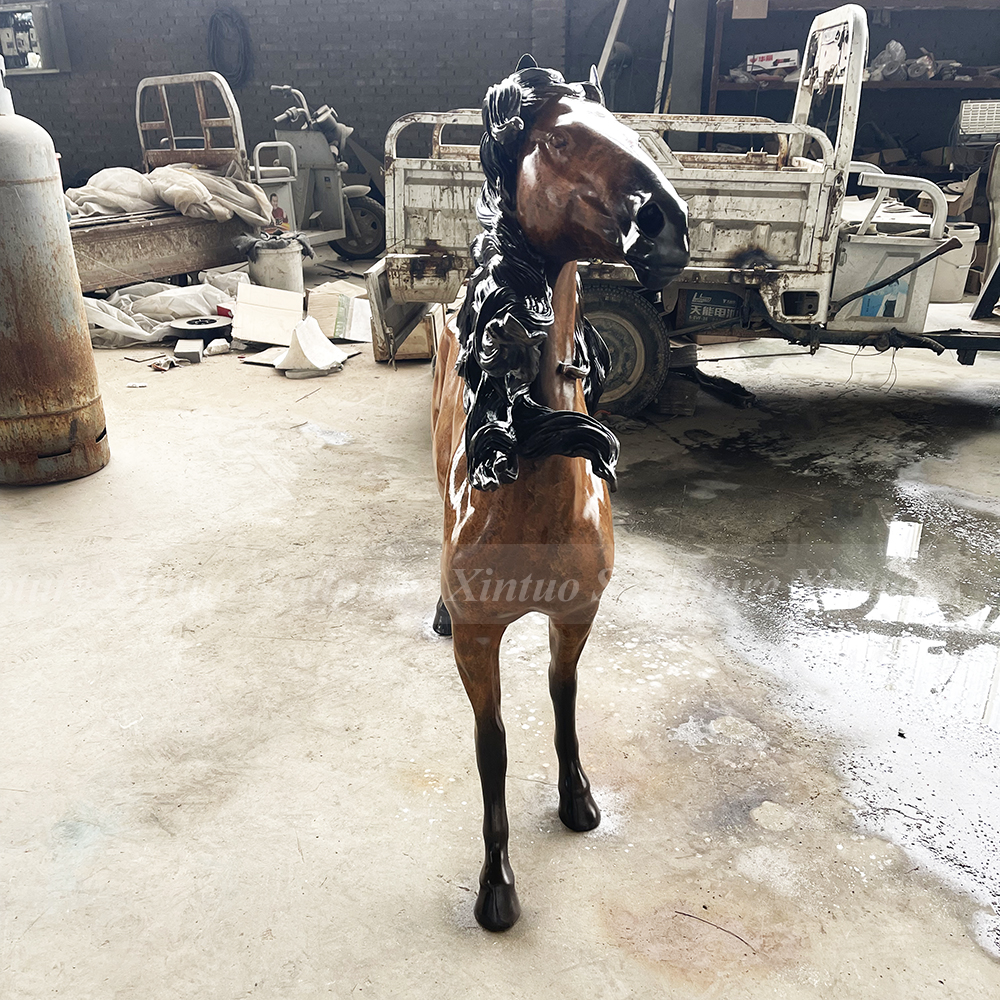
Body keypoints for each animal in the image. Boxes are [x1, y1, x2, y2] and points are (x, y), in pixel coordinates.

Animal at [431, 56, 689, 932]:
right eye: (558, 140)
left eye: (627, 126)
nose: (668, 226)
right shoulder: (481, 644)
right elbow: (493, 749)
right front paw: (496, 888)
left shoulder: (575, 617)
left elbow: (563, 701)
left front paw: (578, 803)